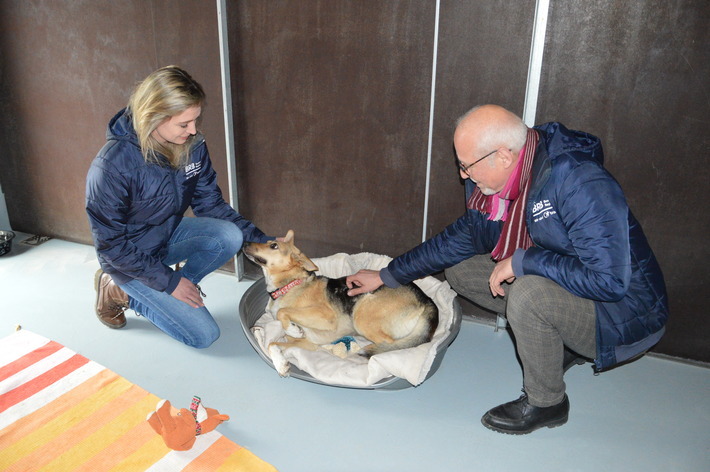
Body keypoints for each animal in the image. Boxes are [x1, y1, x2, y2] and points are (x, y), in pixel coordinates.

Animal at [245, 229, 440, 372]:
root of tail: (427, 300)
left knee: (390, 347)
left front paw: (292, 328)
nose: (245, 242)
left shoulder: (325, 316)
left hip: (362, 315)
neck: (290, 284)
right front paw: (281, 363)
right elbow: (271, 344)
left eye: (273, 245)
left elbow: (282, 312)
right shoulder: (307, 343)